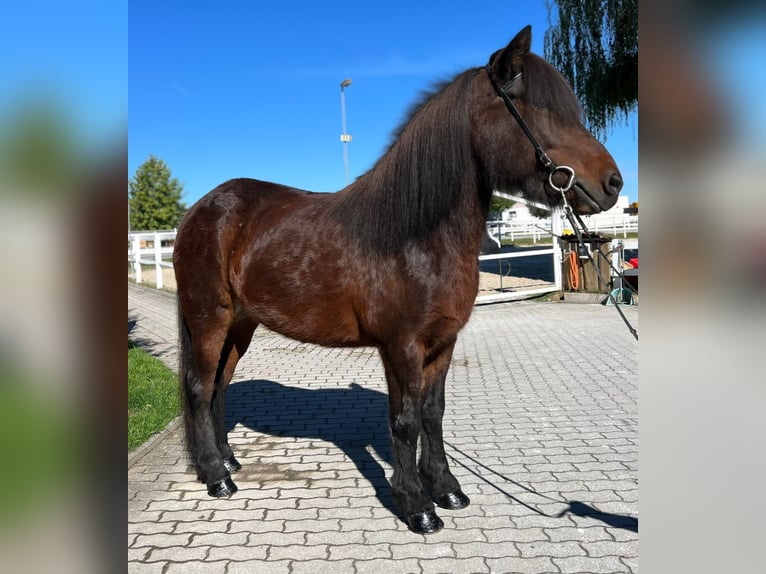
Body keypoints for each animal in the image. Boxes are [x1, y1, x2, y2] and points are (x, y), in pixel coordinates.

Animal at [174, 24, 624, 532]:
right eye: (535, 108)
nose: (613, 183)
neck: (416, 238)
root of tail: (202, 209)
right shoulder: (400, 346)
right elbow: (405, 420)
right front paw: (416, 505)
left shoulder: (443, 343)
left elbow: (433, 414)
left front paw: (447, 489)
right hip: (208, 319)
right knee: (199, 388)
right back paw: (216, 477)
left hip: (241, 326)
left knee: (219, 388)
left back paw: (229, 461)